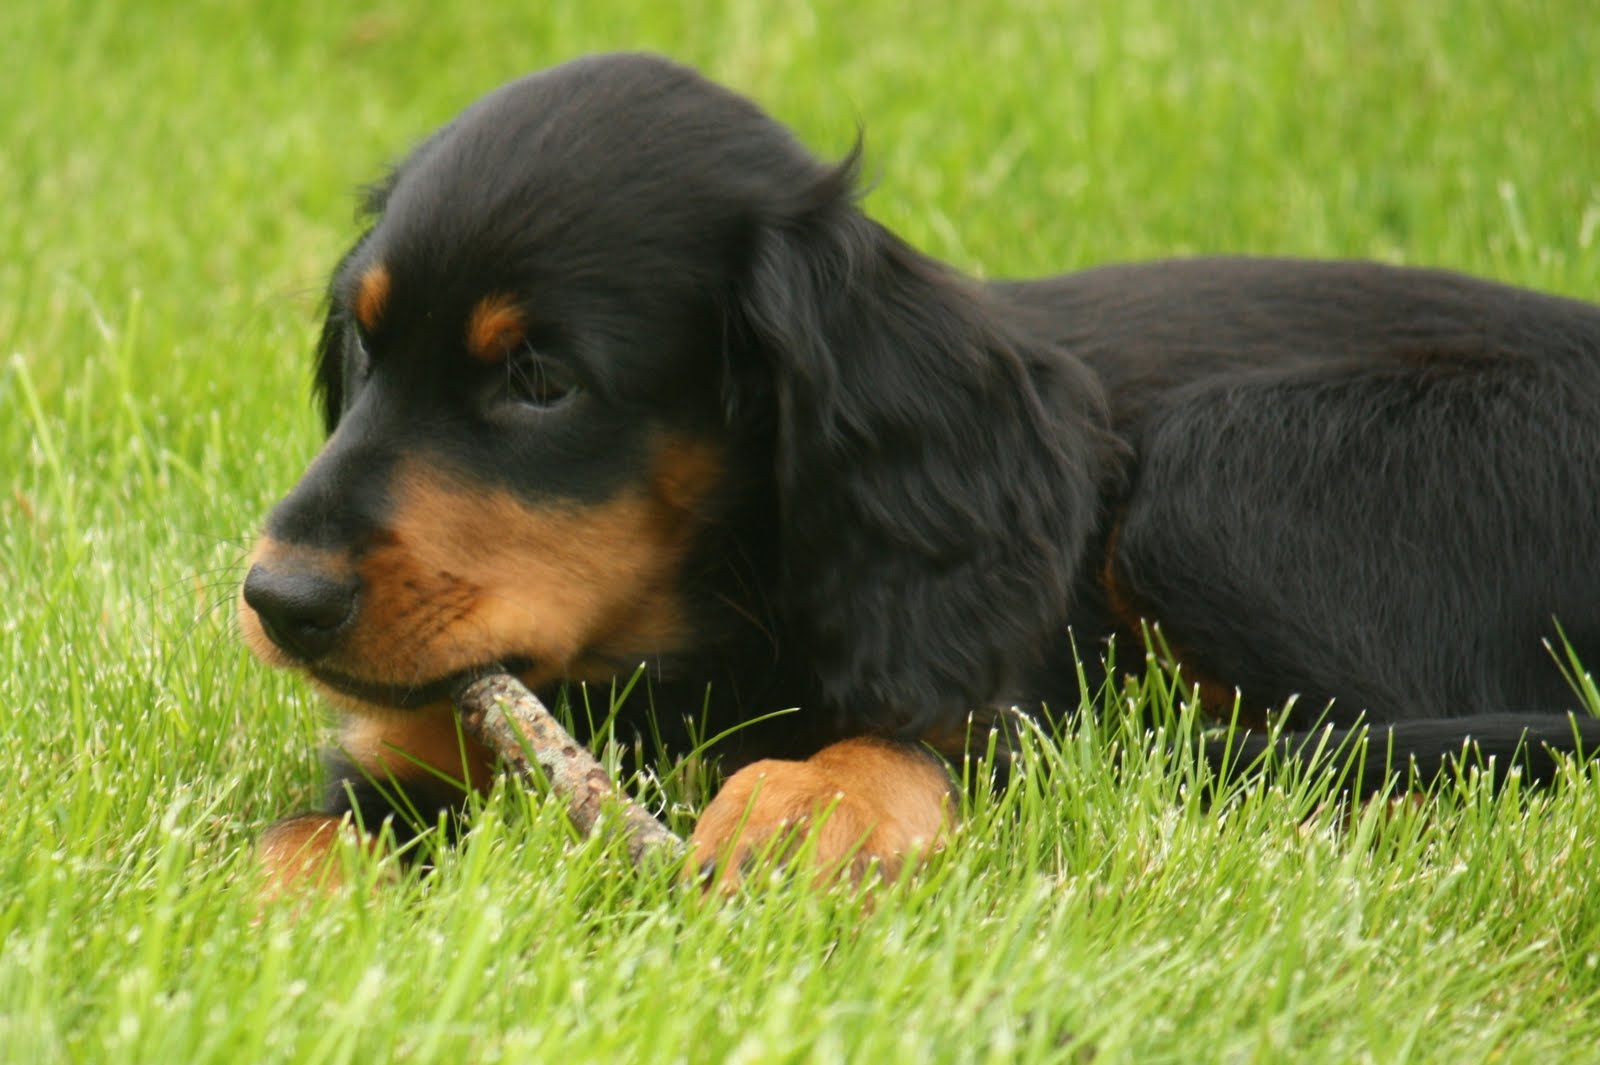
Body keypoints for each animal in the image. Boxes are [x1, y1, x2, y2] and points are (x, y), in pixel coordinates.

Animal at [236, 51, 1600, 889]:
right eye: (363, 343)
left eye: (538, 380)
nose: (278, 601)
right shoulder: (412, 756)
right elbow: (298, 836)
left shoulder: (1002, 697)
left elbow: (906, 740)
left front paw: (801, 811)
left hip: (1216, 482)